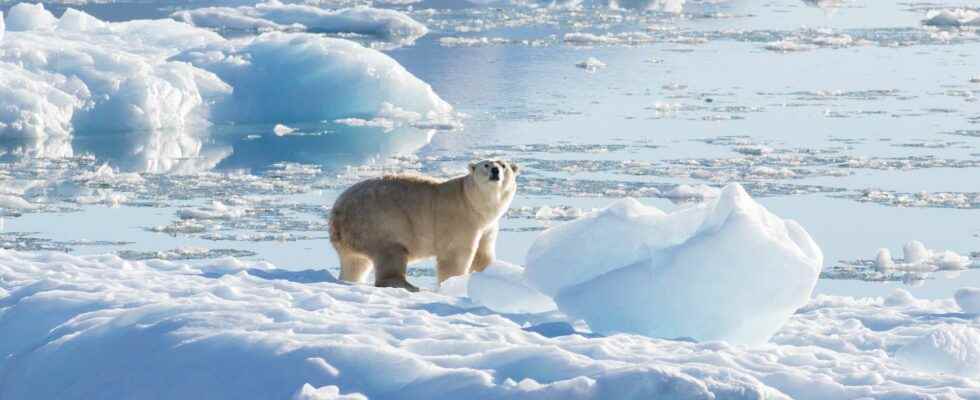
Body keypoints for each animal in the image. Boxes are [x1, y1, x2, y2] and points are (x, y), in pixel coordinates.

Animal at [328, 159, 516, 290]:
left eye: (503, 165)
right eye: (486, 164)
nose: (495, 170)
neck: (472, 202)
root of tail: (337, 213)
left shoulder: (488, 226)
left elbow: (483, 254)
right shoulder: (459, 218)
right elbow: (455, 255)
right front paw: (453, 283)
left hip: (355, 234)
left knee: (355, 263)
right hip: (378, 222)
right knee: (391, 252)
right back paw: (409, 286)